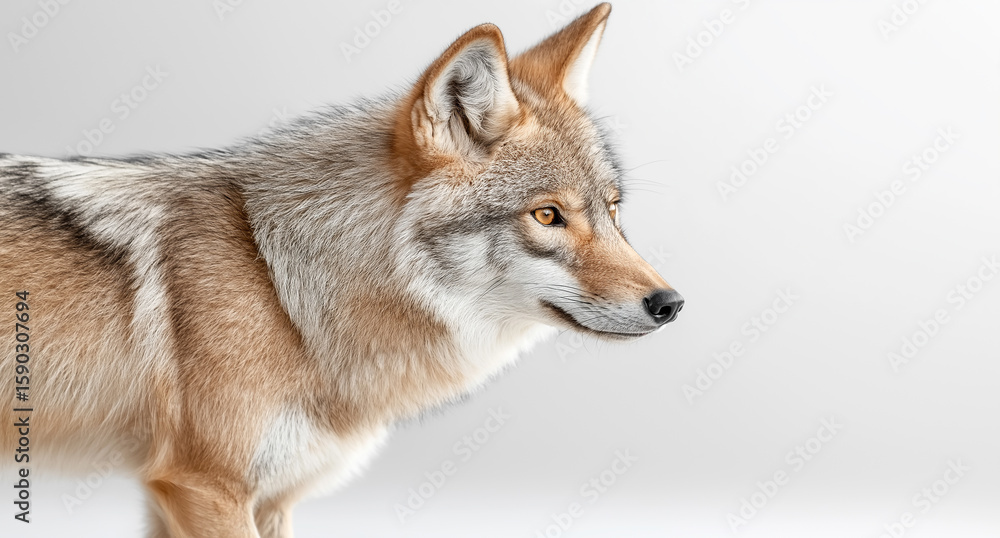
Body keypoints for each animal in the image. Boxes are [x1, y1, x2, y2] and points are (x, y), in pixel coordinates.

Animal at [0, 4, 682, 536]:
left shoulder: (262, 498)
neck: (280, 291)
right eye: (547, 215)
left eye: (613, 210)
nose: (670, 304)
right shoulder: (203, 487)